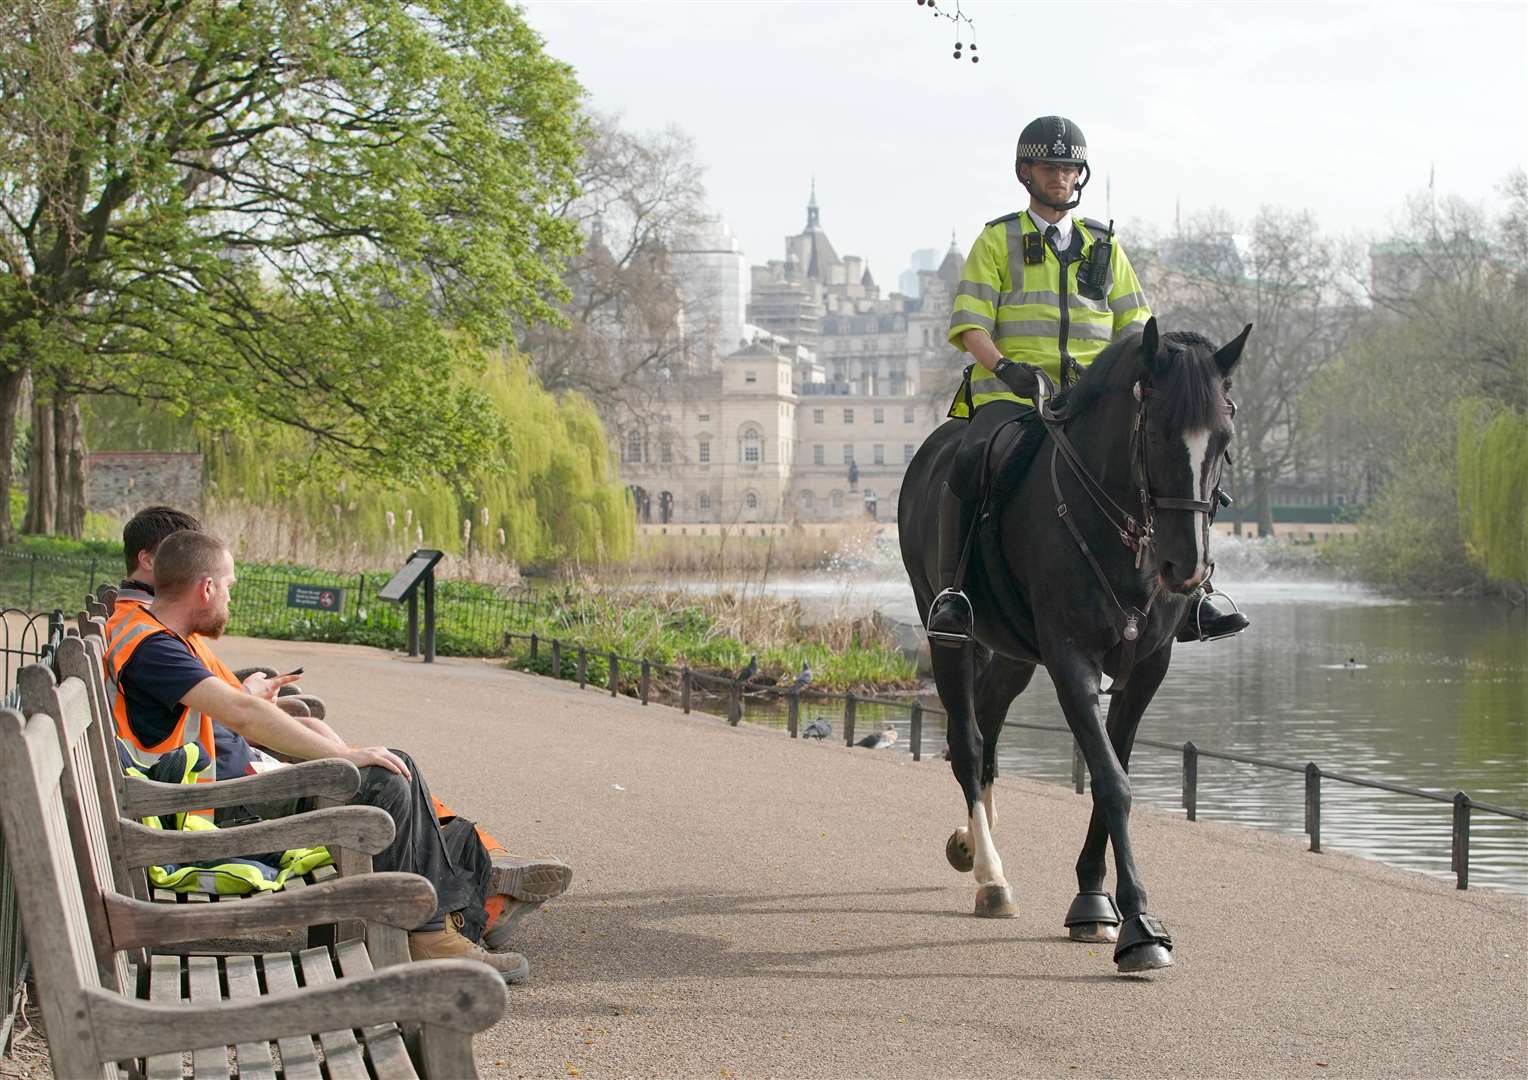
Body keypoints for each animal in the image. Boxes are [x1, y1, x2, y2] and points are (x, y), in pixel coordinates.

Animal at [898, 316, 1246, 977]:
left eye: (1224, 437)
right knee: (968, 743)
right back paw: (990, 875)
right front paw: (1138, 924)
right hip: (949, 634)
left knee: (989, 730)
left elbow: (1116, 766)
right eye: (1155, 432)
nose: (1185, 566)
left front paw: (1093, 899)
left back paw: (973, 839)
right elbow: (1112, 782)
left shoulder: (1147, 668)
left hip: (1012, 653)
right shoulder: (1070, 661)